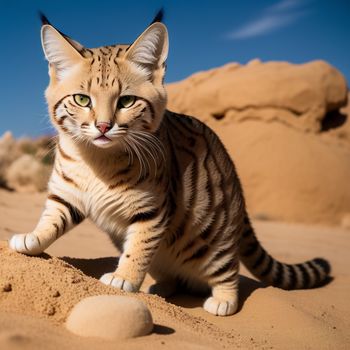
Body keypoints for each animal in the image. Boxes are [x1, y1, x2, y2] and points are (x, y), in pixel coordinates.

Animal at [8, 12, 330, 316]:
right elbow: (51, 220)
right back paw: (159, 288)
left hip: (215, 241)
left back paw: (223, 301)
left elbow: (138, 248)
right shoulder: (66, 194)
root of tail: (235, 181)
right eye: (82, 99)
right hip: (164, 257)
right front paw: (32, 239)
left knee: (229, 271)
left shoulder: (152, 208)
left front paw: (124, 278)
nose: (103, 126)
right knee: (174, 278)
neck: (97, 161)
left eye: (126, 101)